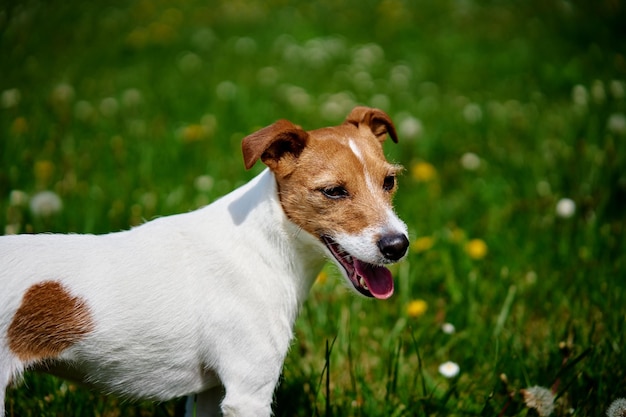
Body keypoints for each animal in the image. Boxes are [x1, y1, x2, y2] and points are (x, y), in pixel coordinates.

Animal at [1, 105, 410, 414]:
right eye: (333, 191)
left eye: (389, 181)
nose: (398, 245)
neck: (261, 245)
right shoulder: (248, 393)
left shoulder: (211, 392)